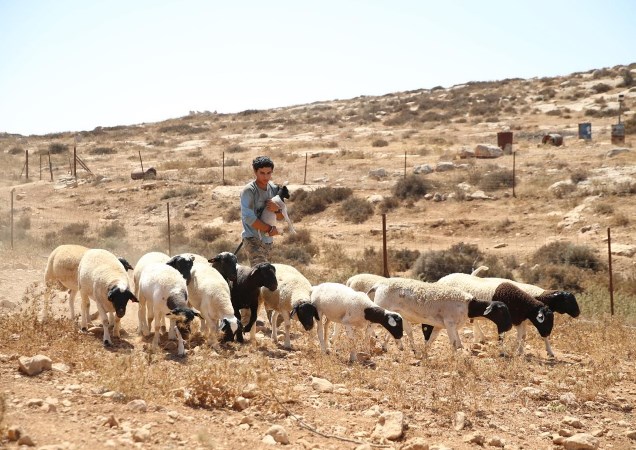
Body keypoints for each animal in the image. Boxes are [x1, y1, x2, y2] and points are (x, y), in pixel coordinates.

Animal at [366, 278, 510, 356]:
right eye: (501, 312)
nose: (508, 327)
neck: (469, 305)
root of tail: (378, 285)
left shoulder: (441, 326)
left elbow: (434, 341)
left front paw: (424, 354)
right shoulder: (450, 323)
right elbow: (454, 344)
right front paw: (456, 360)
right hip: (381, 308)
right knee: (369, 328)